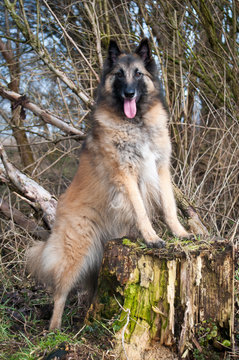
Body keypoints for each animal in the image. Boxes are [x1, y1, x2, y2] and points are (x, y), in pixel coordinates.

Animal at [26, 38, 190, 330]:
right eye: (119, 75)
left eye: (138, 73)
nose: (128, 94)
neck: (136, 123)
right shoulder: (125, 174)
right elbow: (141, 210)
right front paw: (152, 237)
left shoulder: (161, 168)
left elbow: (170, 207)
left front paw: (179, 232)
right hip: (77, 252)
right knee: (60, 292)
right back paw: (55, 329)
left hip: (95, 260)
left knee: (90, 292)